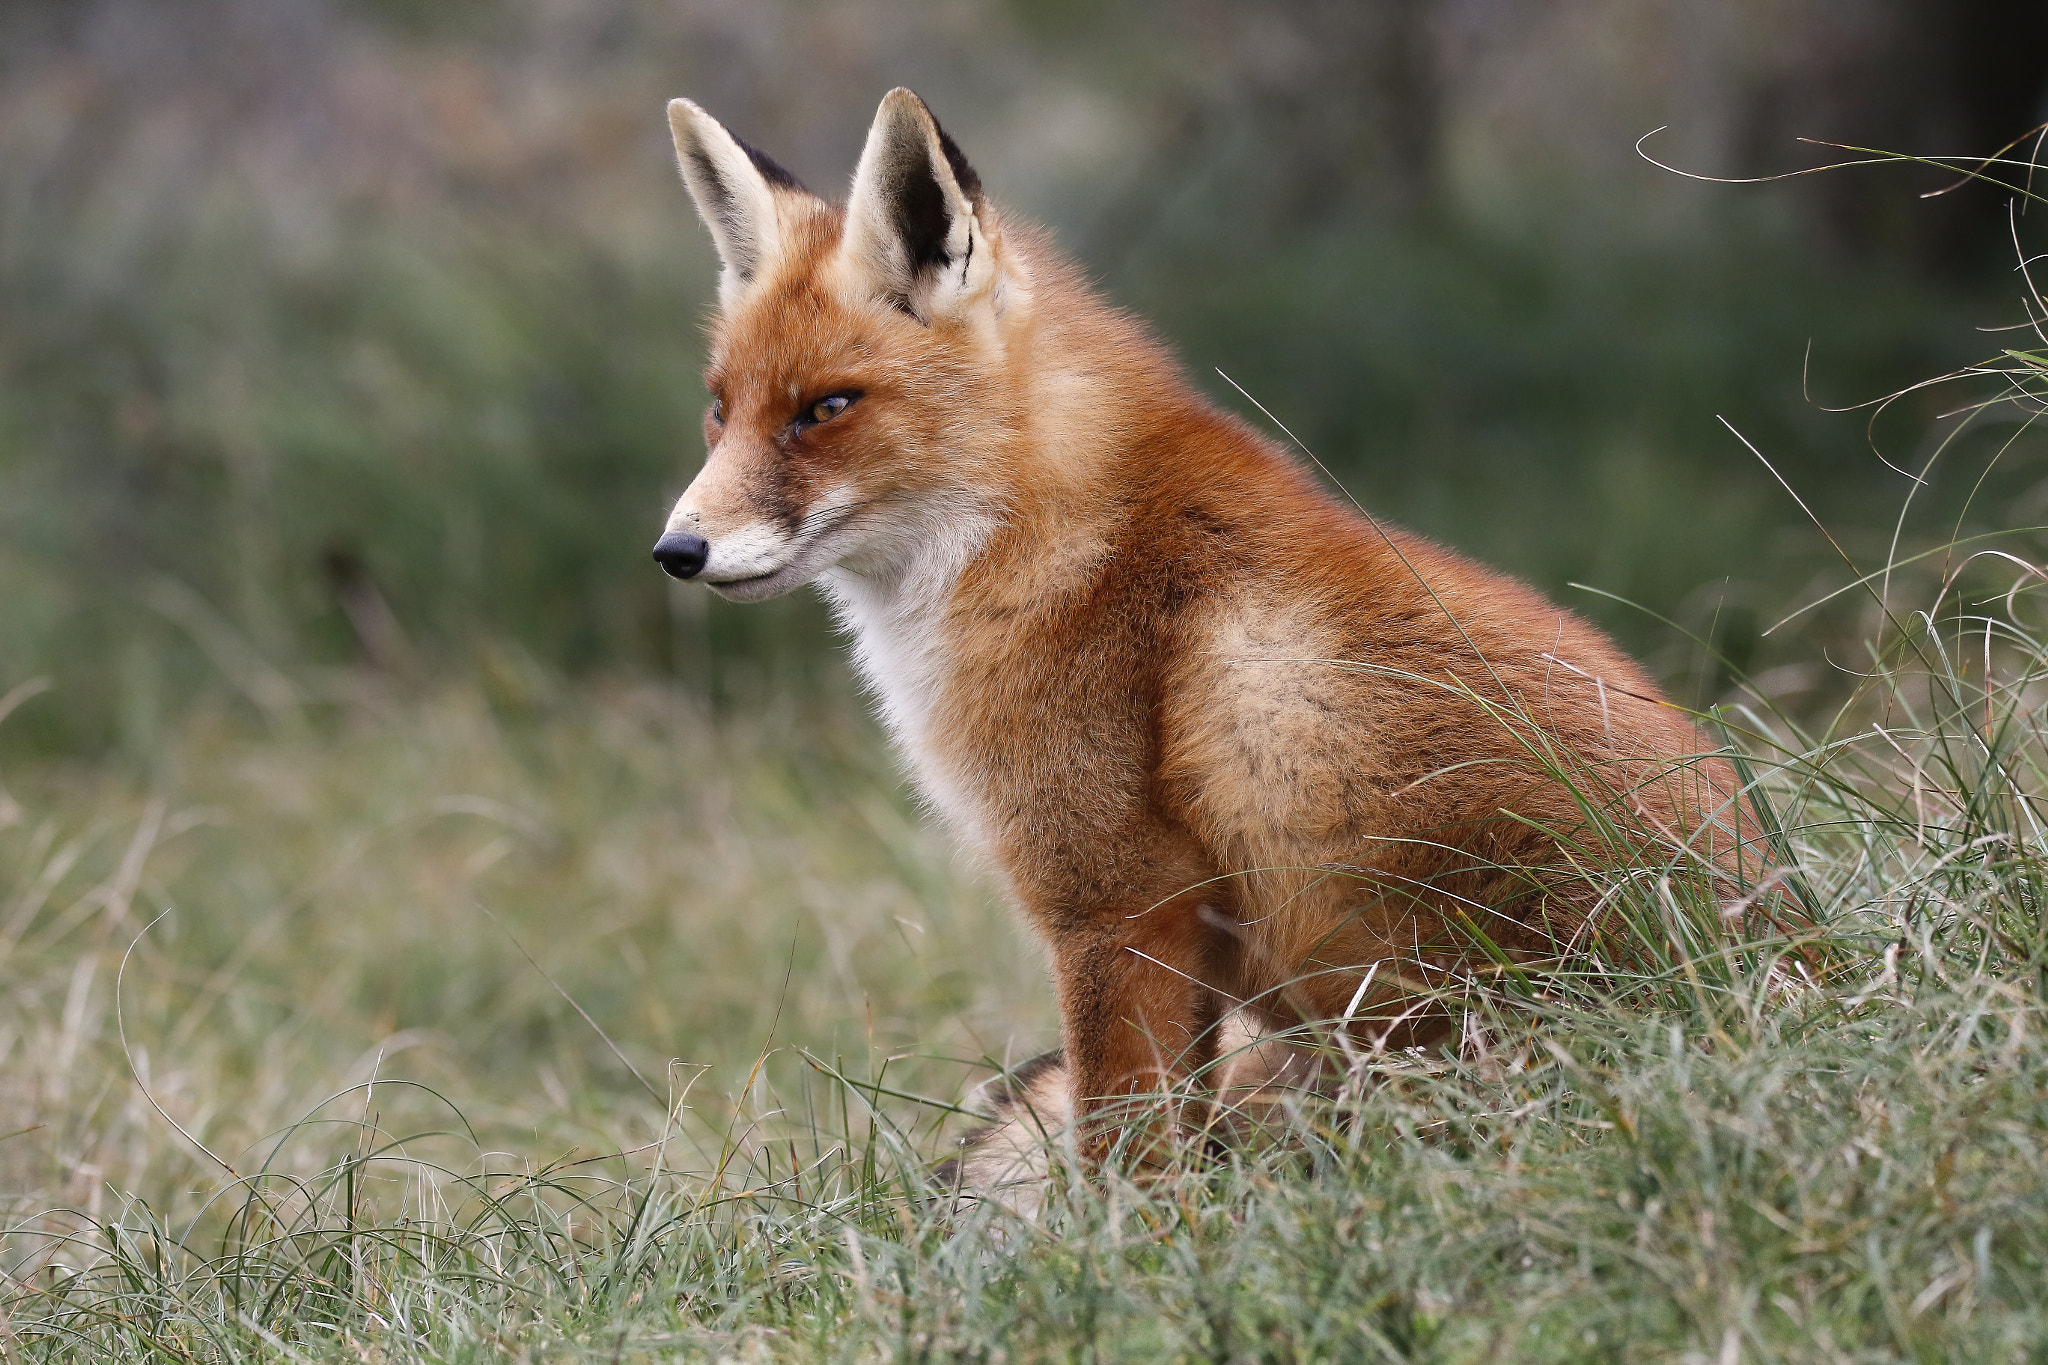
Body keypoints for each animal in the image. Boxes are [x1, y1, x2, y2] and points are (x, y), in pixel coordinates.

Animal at [651, 89, 1742, 1181]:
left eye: (825, 408)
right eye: (719, 410)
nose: (674, 549)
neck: (1057, 539)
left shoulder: (1119, 904)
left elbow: (1121, 1149)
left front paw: (1117, 1234)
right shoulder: (1182, 939)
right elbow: (1173, 1132)